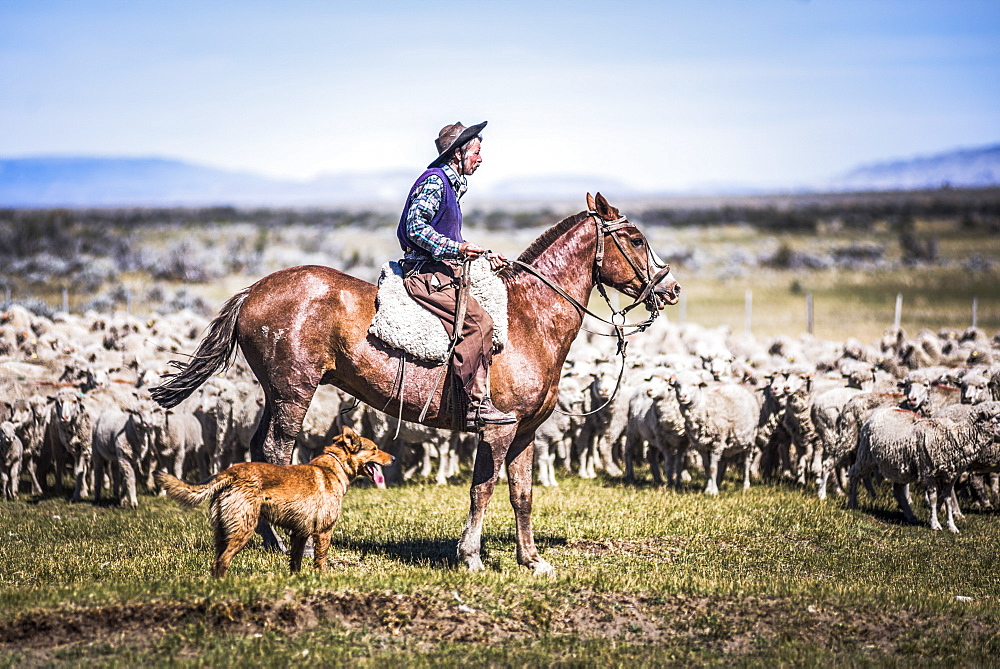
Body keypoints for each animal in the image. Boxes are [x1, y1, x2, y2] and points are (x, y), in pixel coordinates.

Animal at [154, 428, 392, 576]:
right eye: (374, 449)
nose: (394, 458)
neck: (333, 467)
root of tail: (230, 473)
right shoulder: (323, 531)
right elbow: (321, 560)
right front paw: (323, 579)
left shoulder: (300, 533)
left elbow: (295, 563)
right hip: (244, 528)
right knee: (223, 562)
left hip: (222, 532)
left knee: (216, 562)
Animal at [848, 402, 1000, 532]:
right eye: (998, 417)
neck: (953, 436)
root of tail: (881, 410)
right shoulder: (929, 472)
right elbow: (933, 498)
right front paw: (935, 524)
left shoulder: (950, 476)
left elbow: (948, 500)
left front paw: (952, 526)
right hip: (865, 455)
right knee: (854, 474)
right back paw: (852, 504)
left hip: (901, 468)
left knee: (898, 490)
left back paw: (910, 516)